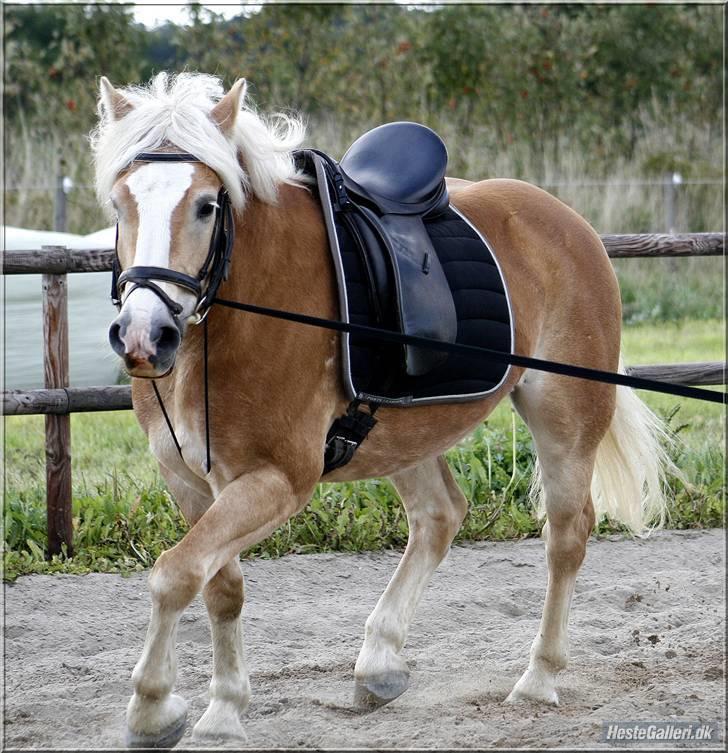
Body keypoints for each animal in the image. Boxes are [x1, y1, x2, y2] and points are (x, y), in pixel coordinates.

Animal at [91, 72, 672, 748]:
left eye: (208, 205)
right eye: (118, 205)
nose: (144, 335)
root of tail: (566, 219)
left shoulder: (277, 480)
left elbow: (175, 575)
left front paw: (152, 708)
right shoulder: (187, 479)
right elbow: (218, 586)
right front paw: (225, 710)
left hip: (565, 418)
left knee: (566, 536)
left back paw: (538, 678)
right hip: (402, 431)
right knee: (440, 515)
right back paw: (379, 663)